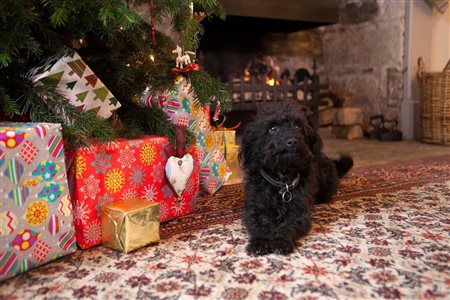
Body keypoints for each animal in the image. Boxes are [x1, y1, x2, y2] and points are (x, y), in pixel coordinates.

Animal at [241, 104, 354, 254]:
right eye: (272, 129)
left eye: (297, 126)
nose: (292, 141)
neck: (283, 181)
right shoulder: (256, 210)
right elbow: (260, 226)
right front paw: (260, 243)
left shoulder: (299, 213)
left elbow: (288, 227)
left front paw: (280, 242)